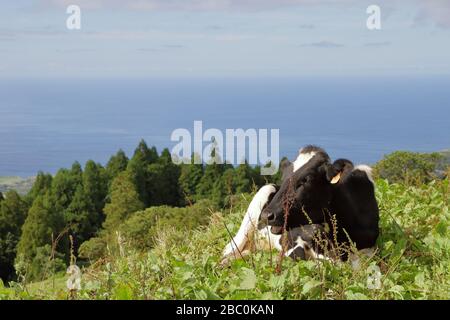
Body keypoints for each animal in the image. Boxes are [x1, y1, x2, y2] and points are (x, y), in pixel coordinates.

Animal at [221, 146, 380, 264]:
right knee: (229, 249)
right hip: (261, 198)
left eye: (306, 180)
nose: (266, 215)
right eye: (283, 178)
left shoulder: (369, 249)